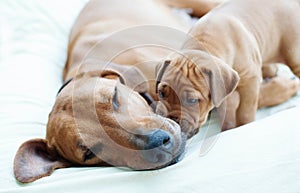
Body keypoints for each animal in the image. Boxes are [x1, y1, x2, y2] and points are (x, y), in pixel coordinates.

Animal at [155, 0, 300, 135]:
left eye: (192, 100)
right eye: (161, 93)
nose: (170, 121)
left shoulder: (250, 80)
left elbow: (245, 111)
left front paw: (243, 125)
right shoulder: (223, 91)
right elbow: (227, 110)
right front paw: (228, 127)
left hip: (293, 54)